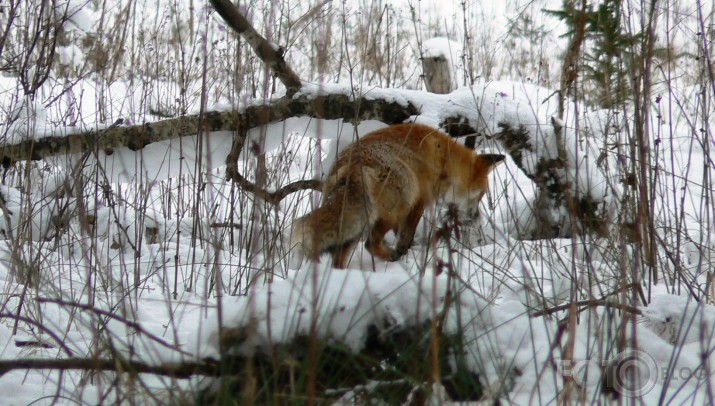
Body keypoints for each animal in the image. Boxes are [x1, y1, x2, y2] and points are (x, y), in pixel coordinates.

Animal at [290, 123, 504, 270]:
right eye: (481, 195)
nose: (478, 220)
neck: (443, 158)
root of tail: (355, 165)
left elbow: (403, 234)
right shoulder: (419, 201)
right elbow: (406, 235)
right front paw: (405, 252)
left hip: (356, 223)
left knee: (339, 257)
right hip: (398, 204)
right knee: (370, 243)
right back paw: (391, 257)